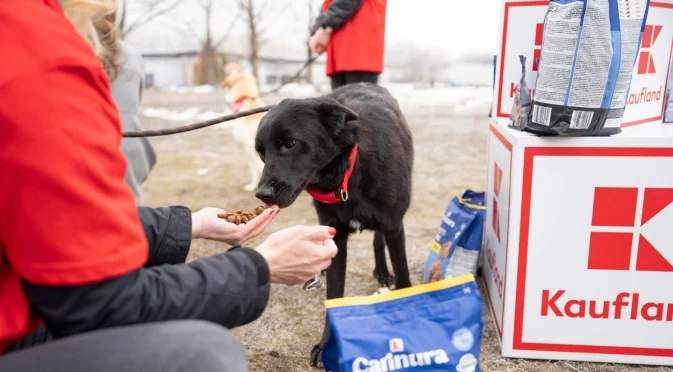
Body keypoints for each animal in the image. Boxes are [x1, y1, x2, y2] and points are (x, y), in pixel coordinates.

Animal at [252, 82, 412, 366]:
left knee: (378, 240)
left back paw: (383, 273)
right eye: (261, 153)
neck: (349, 172)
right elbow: (334, 295)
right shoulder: (335, 236)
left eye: (289, 144)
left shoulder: (394, 227)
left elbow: (404, 278)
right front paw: (327, 345)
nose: (263, 195)